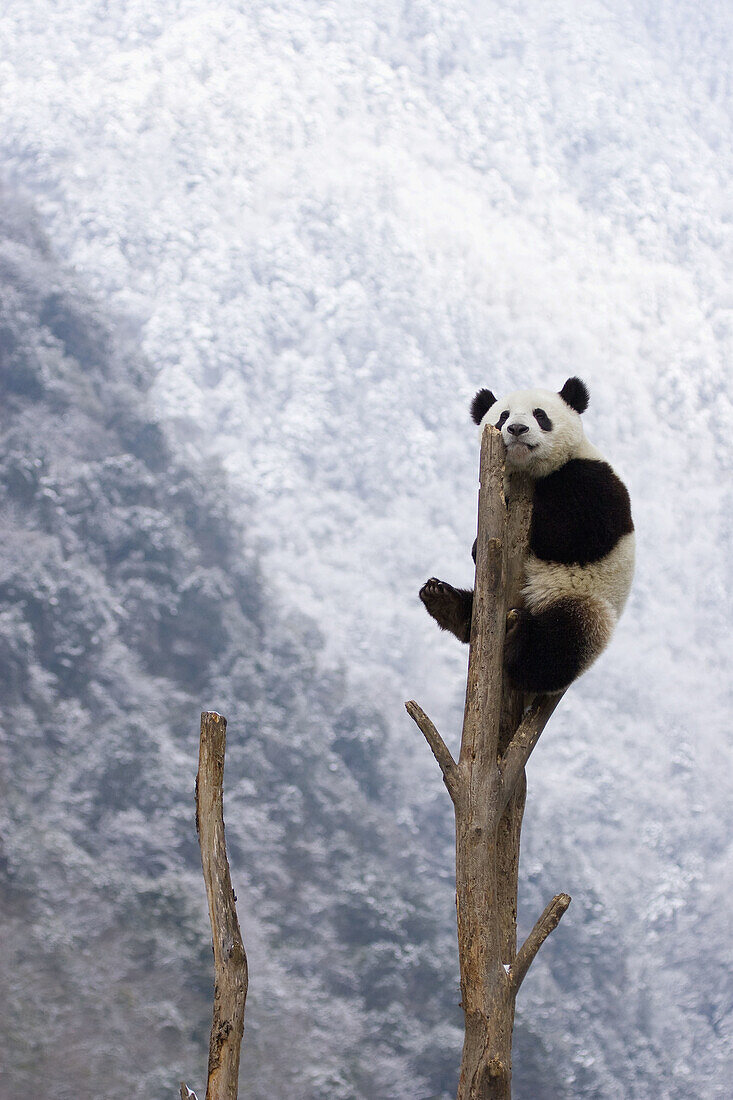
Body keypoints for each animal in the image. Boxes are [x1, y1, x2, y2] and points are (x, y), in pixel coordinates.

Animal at [420, 374, 629, 690]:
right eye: (503, 416)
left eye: (540, 415)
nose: (517, 429)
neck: (530, 473)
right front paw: (476, 547)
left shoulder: (593, 480)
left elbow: (574, 534)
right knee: (475, 613)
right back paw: (444, 601)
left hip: (586, 600)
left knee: (561, 642)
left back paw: (520, 643)